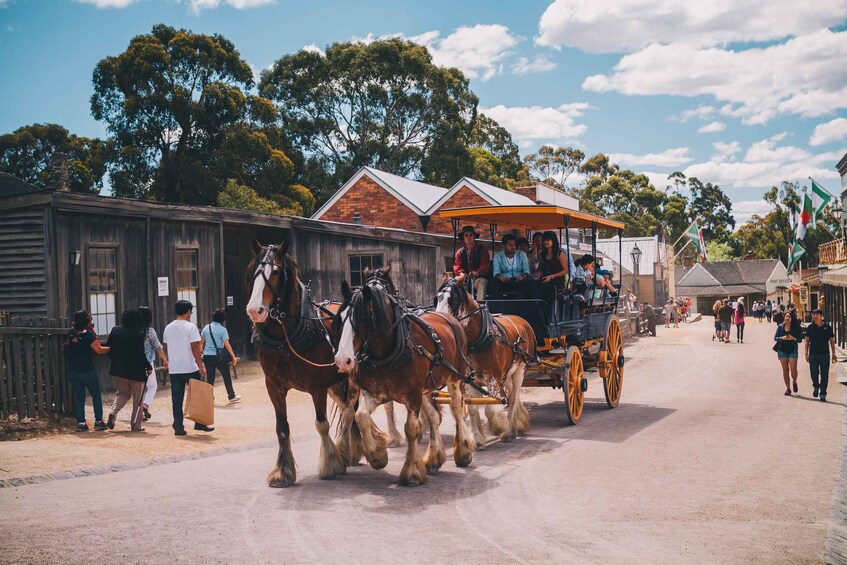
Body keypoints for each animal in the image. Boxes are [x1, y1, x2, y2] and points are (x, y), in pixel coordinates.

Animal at [247, 240, 362, 486]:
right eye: (253, 271)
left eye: (276, 272)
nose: (254, 310)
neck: (286, 338)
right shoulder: (274, 387)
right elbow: (282, 428)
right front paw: (283, 472)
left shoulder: (316, 386)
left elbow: (322, 424)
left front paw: (329, 465)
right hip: (335, 383)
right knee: (345, 409)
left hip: (351, 378)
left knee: (350, 412)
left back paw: (348, 451)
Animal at [332, 276, 476, 482]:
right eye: (339, 319)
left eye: (362, 319)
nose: (342, 360)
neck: (391, 349)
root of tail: (449, 318)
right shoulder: (376, 393)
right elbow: (361, 416)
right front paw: (377, 456)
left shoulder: (412, 396)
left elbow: (411, 429)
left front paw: (412, 472)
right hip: (426, 387)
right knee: (433, 417)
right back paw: (434, 458)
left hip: (455, 378)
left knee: (456, 409)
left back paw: (463, 452)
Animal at [438, 278, 536, 446]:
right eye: (437, 298)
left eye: (453, 299)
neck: (478, 341)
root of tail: (523, 321)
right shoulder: (469, 380)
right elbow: (472, 408)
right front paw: (477, 438)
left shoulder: (494, 378)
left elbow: (489, 409)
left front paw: (497, 427)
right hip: (507, 373)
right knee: (512, 394)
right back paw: (520, 421)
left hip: (519, 371)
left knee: (514, 397)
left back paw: (511, 430)